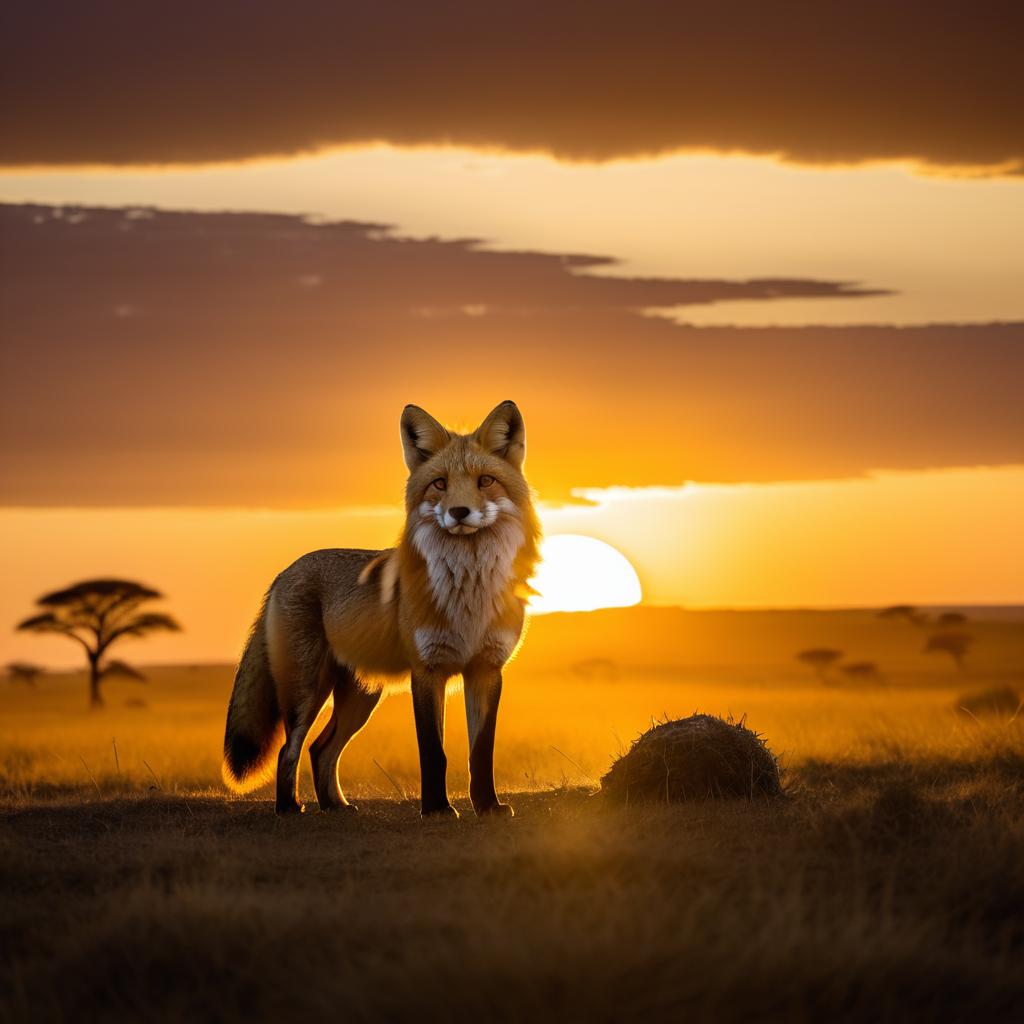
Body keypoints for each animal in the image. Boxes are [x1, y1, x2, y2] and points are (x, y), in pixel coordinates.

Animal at [223, 399, 540, 815]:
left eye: (485, 481)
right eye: (440, 483)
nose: (459, 511)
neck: (468, 593)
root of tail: (284, 572)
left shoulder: (486, 670)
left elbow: (481, 752)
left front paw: (487, 806)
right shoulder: (427, 669)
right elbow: (433, 752)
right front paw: (437, 809)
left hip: (360, 697)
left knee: (320, 748)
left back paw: (335, 805)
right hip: (307, 690)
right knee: (289, 749)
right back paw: (289, 807)